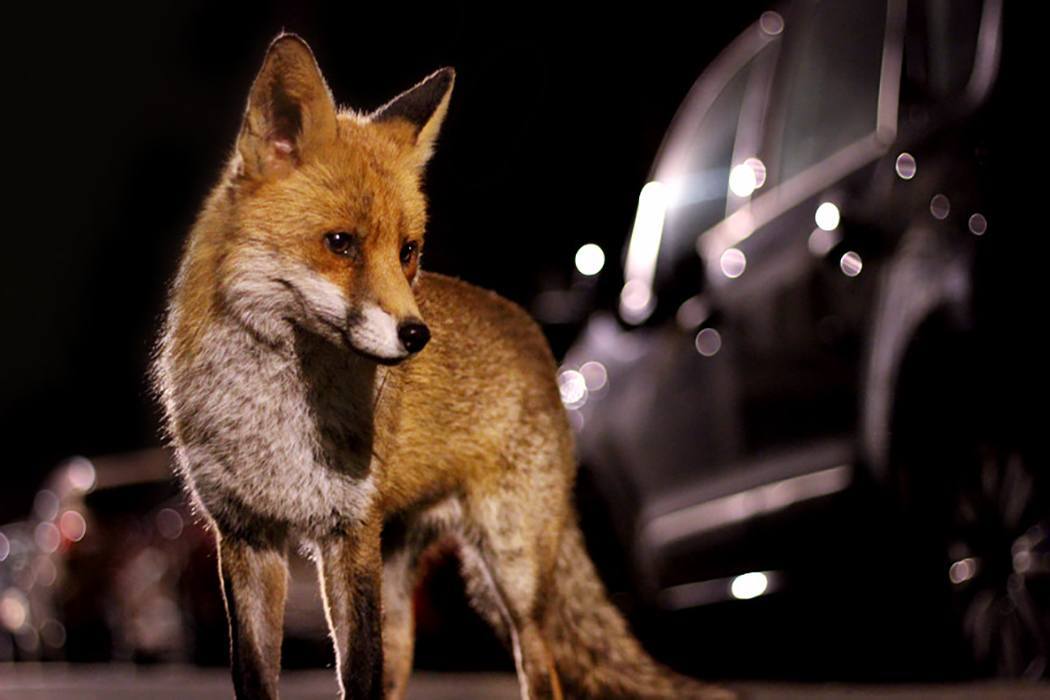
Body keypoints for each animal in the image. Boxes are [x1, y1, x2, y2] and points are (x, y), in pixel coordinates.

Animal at [152, 33, 733, 700]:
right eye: (340, 243)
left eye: (408, 251)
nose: (416, 335)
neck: (271, 410)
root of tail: (535, 335)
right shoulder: (246, 538)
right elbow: (257, 676)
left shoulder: (348, 534)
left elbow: (359, 677)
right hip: (402, 582)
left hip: (510, 569)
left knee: (541, 665)